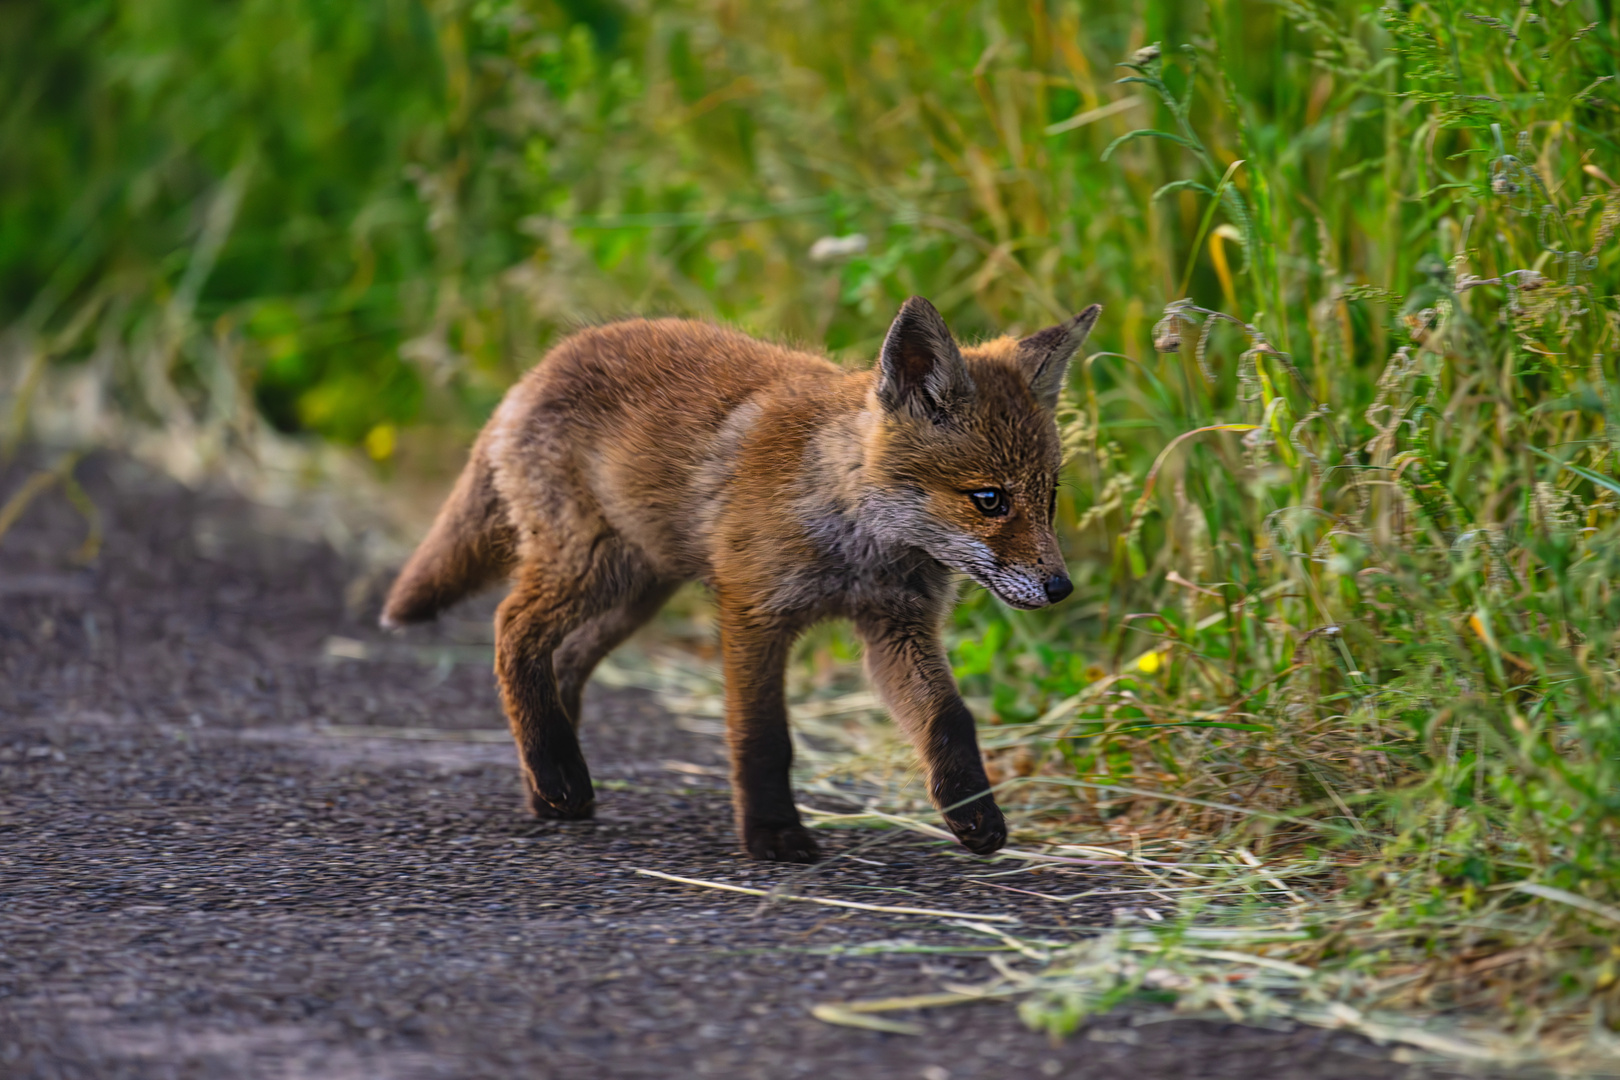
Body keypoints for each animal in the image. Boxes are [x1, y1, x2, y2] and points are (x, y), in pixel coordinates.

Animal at [379, 296, 1095, 861]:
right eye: (989, 499)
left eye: (1050, 497)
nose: (1061, 589)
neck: (856, 541)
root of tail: (539, 369)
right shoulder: (753, 612)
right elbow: (763, 737)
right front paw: (773, 833)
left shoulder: (896, 626)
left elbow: (951, 720)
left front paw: (974, 812)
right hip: (588, 567)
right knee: (512, 628)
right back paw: (556, 772)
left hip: (633, 595)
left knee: (564, 661)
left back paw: (550, 782)